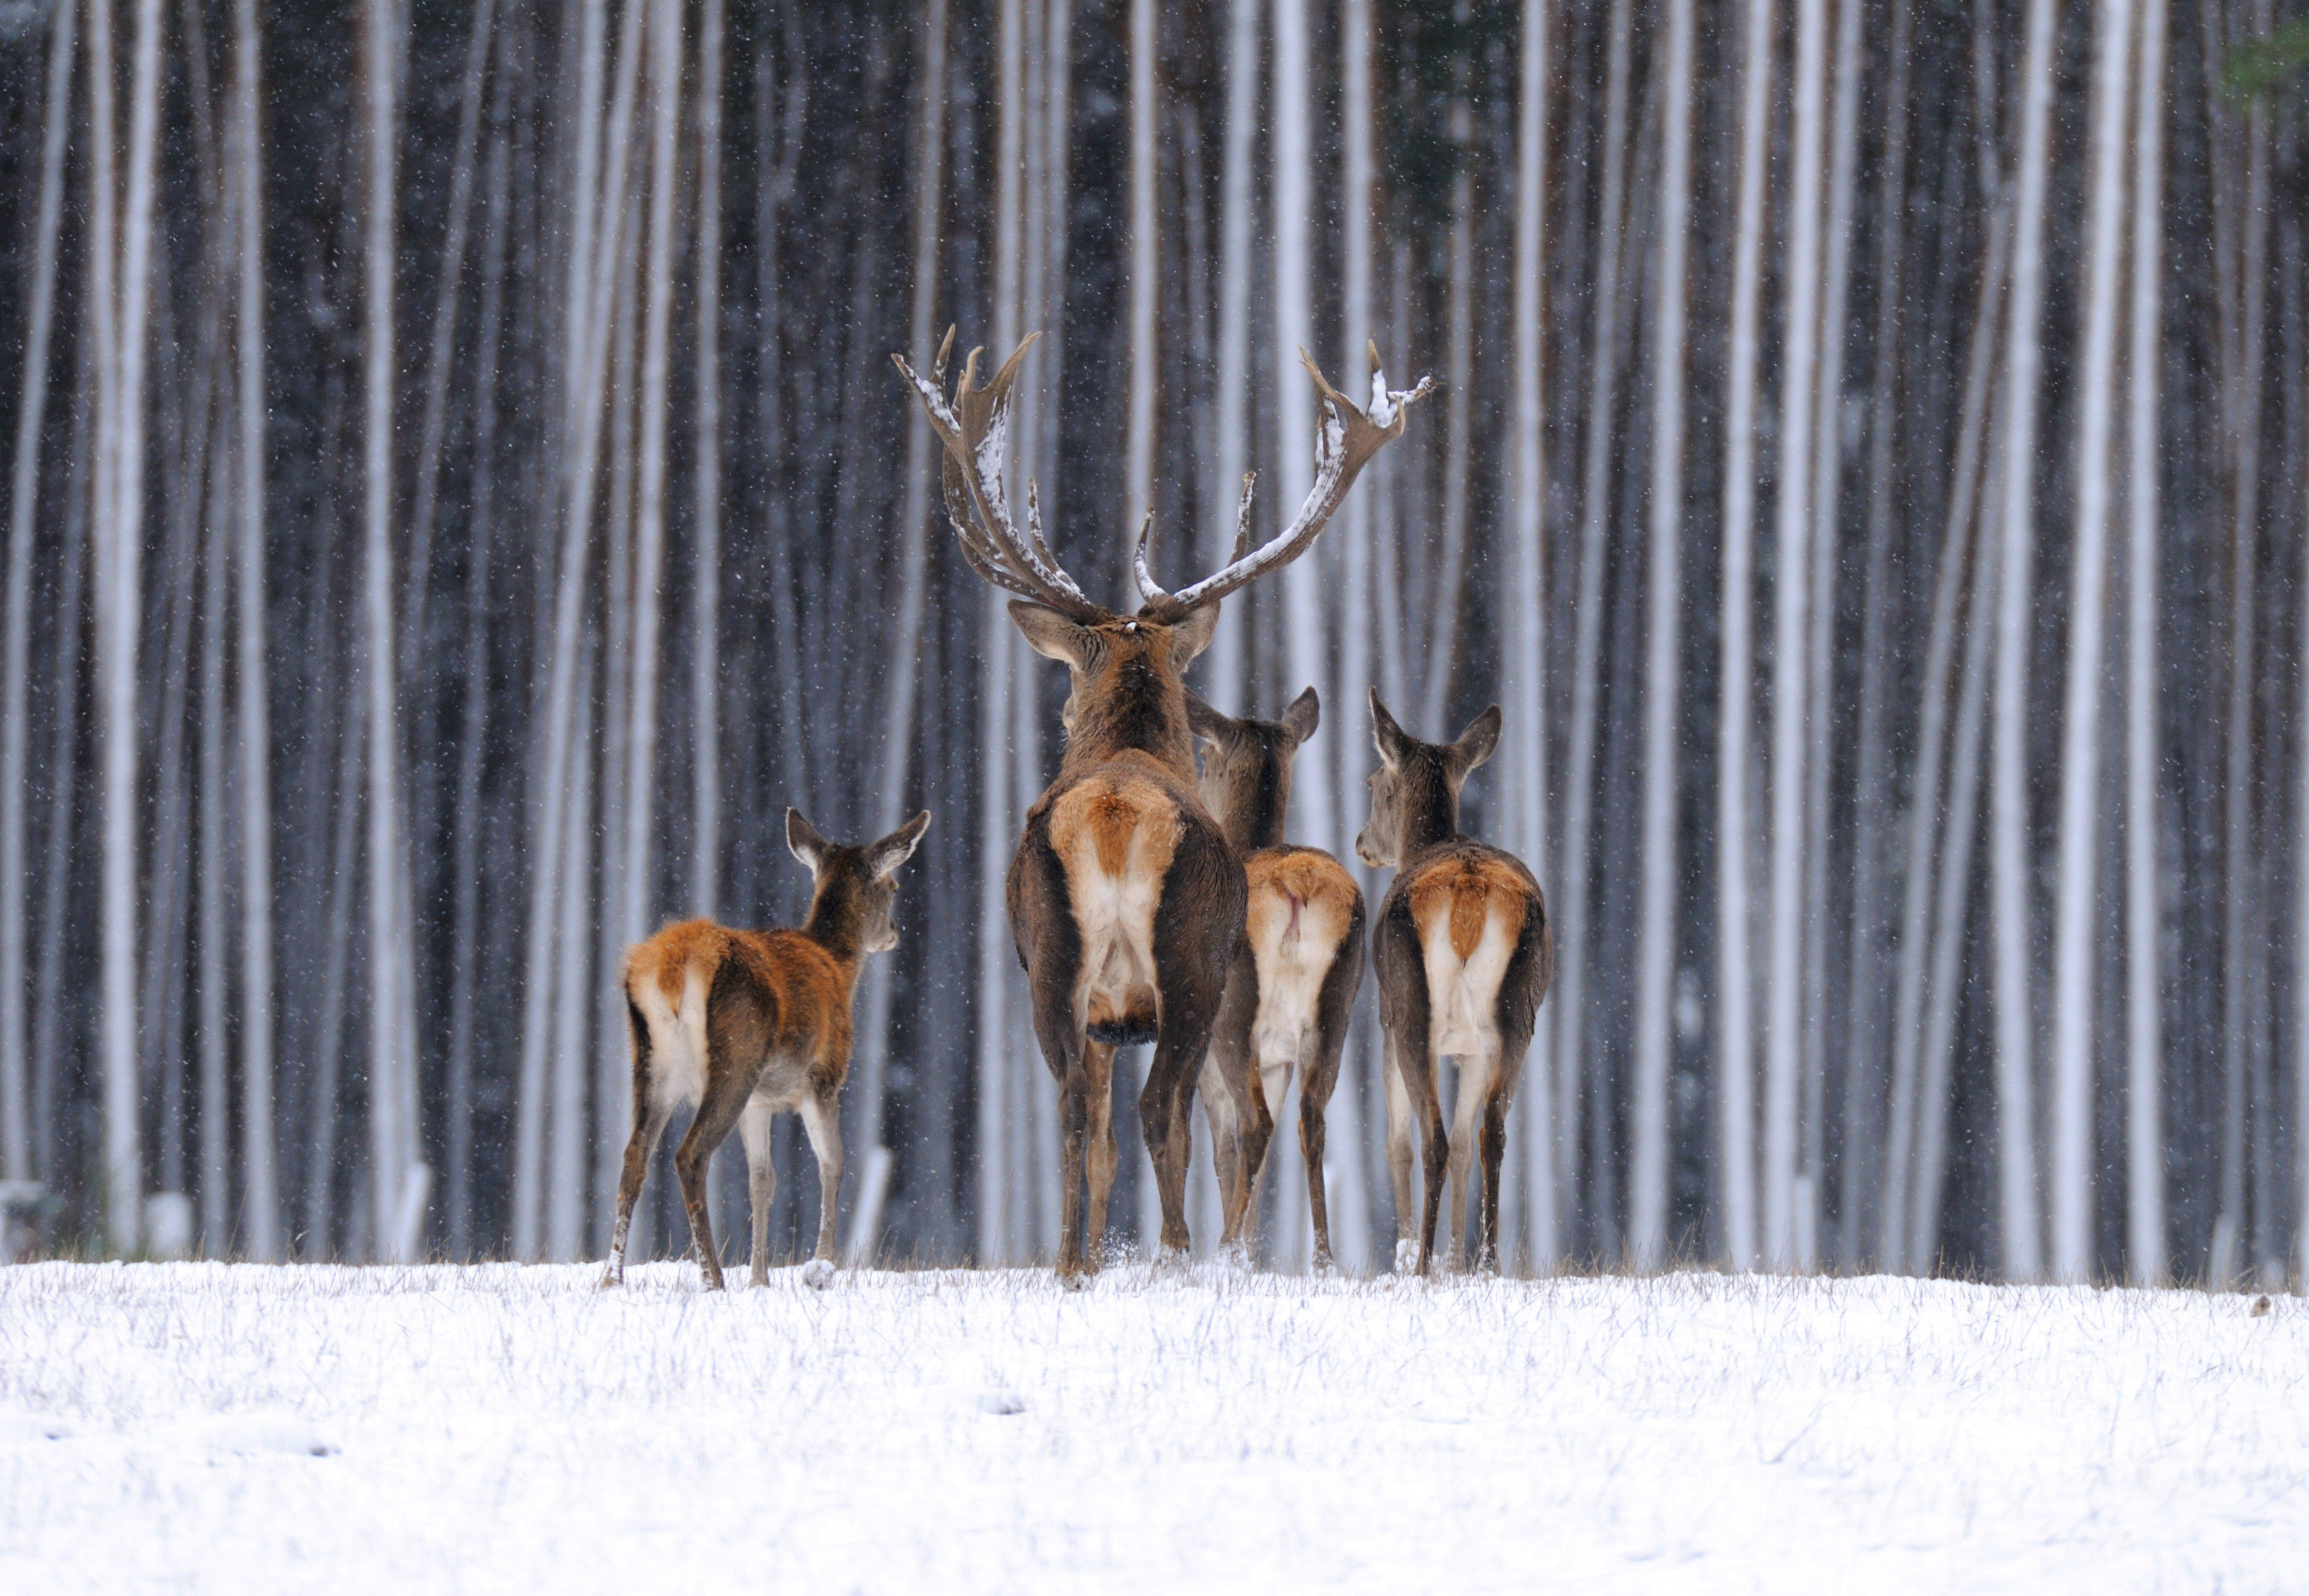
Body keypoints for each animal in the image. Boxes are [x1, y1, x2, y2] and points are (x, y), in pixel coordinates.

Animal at [600, 808, 931, 1292]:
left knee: (633, 1158)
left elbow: (762, 1180)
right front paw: (821, 1268)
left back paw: (610, 1278)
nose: (894, 932)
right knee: (689, 1155)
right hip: (736, 1058)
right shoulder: (822, 1078)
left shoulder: (760, 1102)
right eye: (894, 887)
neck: (839, 968)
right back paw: (713, 1278)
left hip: (650, 1063)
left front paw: (760, 1279)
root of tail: (674, 966)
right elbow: (832, 1162)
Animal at [1184, 688, 1365, 1270]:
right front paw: (1249, 1251)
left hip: (1233, 1014)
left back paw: (1222, 1252)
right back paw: (1324, 1258)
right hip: (1334, 1013)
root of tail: (1297, 886)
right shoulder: (1279, 1057)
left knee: (1255, 1125)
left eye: (1204, 754)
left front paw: (1235, 1251)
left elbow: (1224, 1149)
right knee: (1311, 1120)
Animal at [1356, 692, 1552, 1276]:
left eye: (1373, 783)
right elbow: (1469, 1142)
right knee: (1490, 1132)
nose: (1362, 842)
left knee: (1432, 1137)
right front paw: (1458, 1261)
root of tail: (1468, 894)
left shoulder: (1384, 1022)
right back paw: (1487, 1263)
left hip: (1410, 1009)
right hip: (1515, 1017)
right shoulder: (1469, 1049)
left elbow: (1396, 1142)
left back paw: (1420, 1262)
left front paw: (1406, 1256)